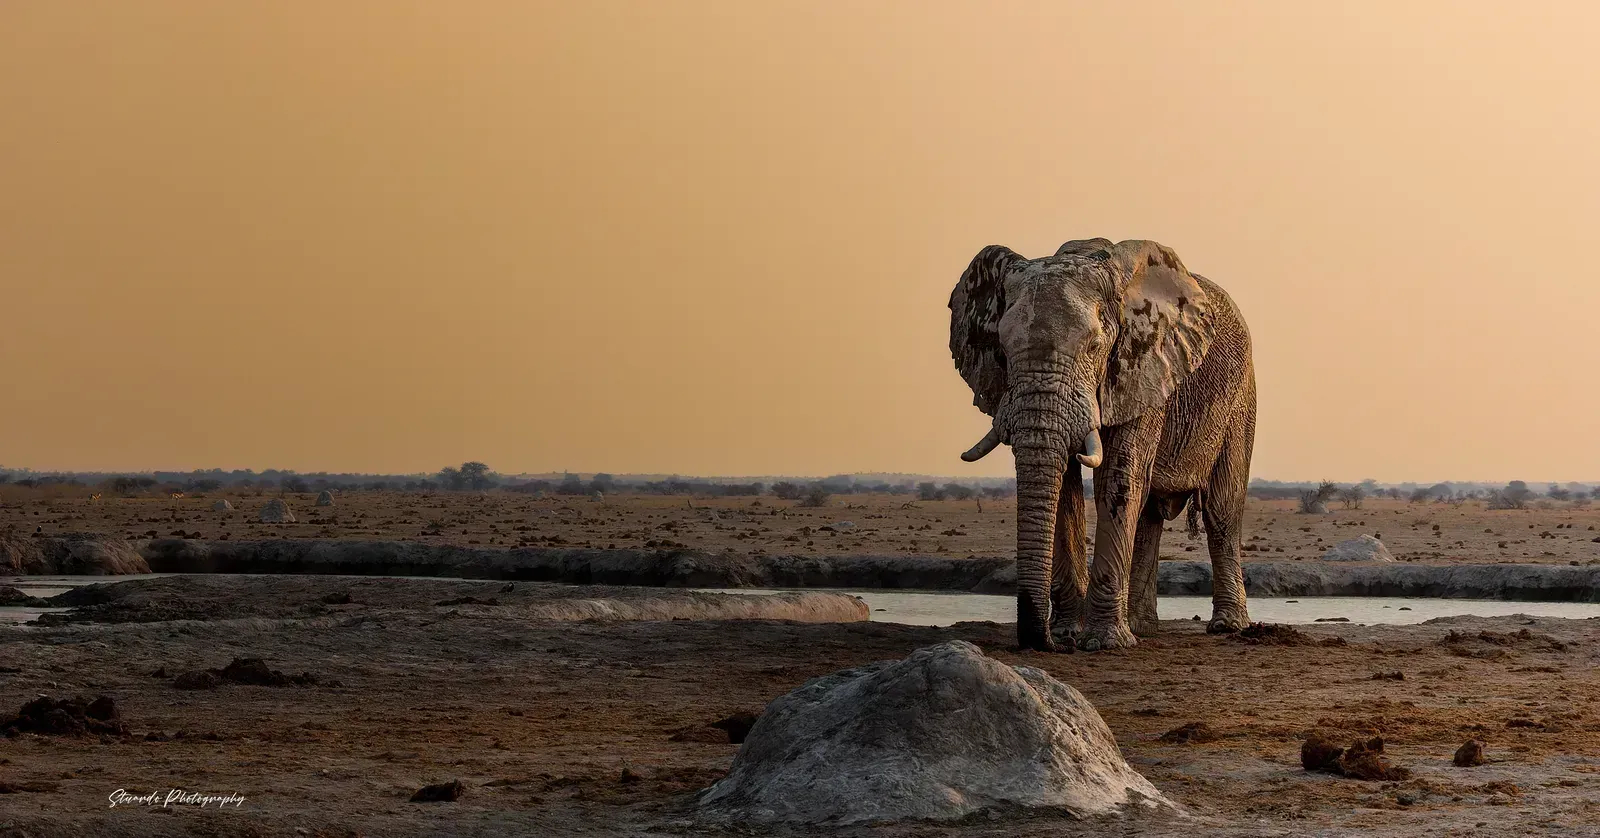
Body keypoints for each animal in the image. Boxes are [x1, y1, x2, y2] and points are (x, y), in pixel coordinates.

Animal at [949, 238, 1256, 652]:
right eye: (1001, 350)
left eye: (1095, 347)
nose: (1042, 642)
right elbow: (1066, 485)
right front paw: (1069, 634)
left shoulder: (1142, 366)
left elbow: (1117, 478)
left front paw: (1103, 643)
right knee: (1150, 515)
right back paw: (1141, 627)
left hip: (1240, 399)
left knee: (1221, 509)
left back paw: (1226, 627)